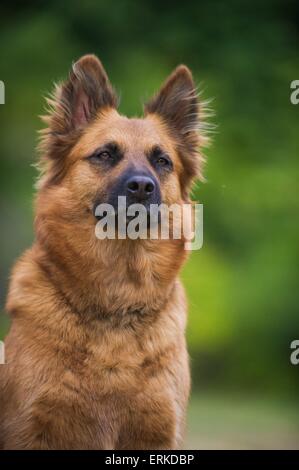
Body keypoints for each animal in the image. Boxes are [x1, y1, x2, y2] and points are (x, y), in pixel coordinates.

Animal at [0, 53, 207, 450]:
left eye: (162, 161)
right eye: (106, 154)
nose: (142, 187)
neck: (117, 303)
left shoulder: (158, 433)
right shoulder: (29, 428)